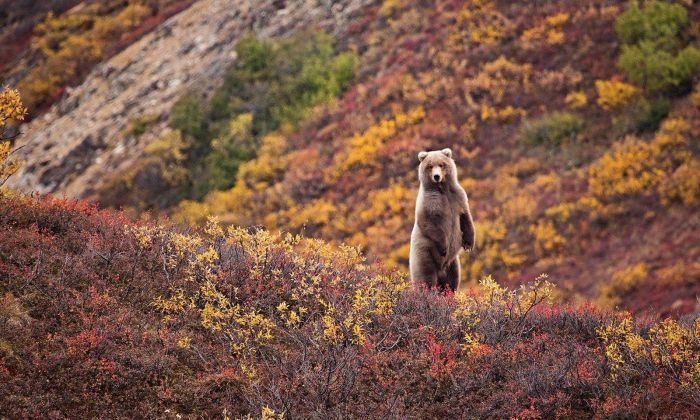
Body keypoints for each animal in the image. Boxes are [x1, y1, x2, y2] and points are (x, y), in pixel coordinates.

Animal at [410, 148, 476, 292]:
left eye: (441, 164)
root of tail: (441, 271)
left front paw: (469, 244)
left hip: (453, 263)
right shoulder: (430, 203)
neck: (443, 190)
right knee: (426, 277)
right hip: (424, 254)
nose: (436, 176)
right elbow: (429, 224)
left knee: (453, 279)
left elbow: (466, 217)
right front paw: (444, 247)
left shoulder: (458, 198)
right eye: (430, 166)